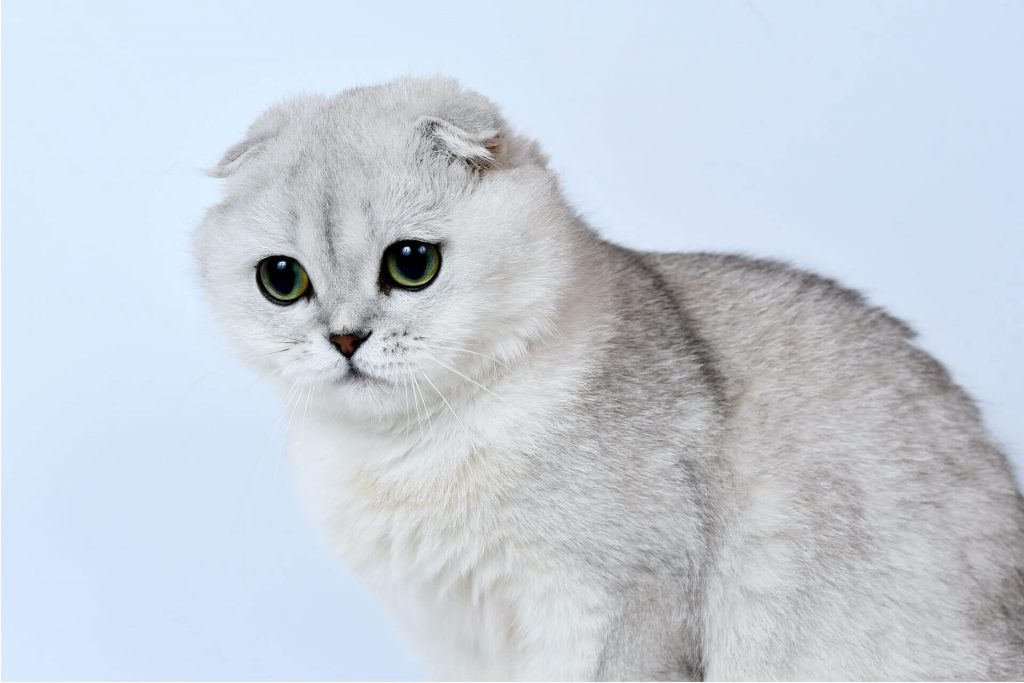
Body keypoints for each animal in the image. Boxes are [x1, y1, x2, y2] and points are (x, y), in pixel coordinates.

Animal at [193, 78, 1024, 679]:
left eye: (411, 263)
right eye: (282, 280)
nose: (343, 338)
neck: (409, 449)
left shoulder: (623, 601)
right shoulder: (458, 634)